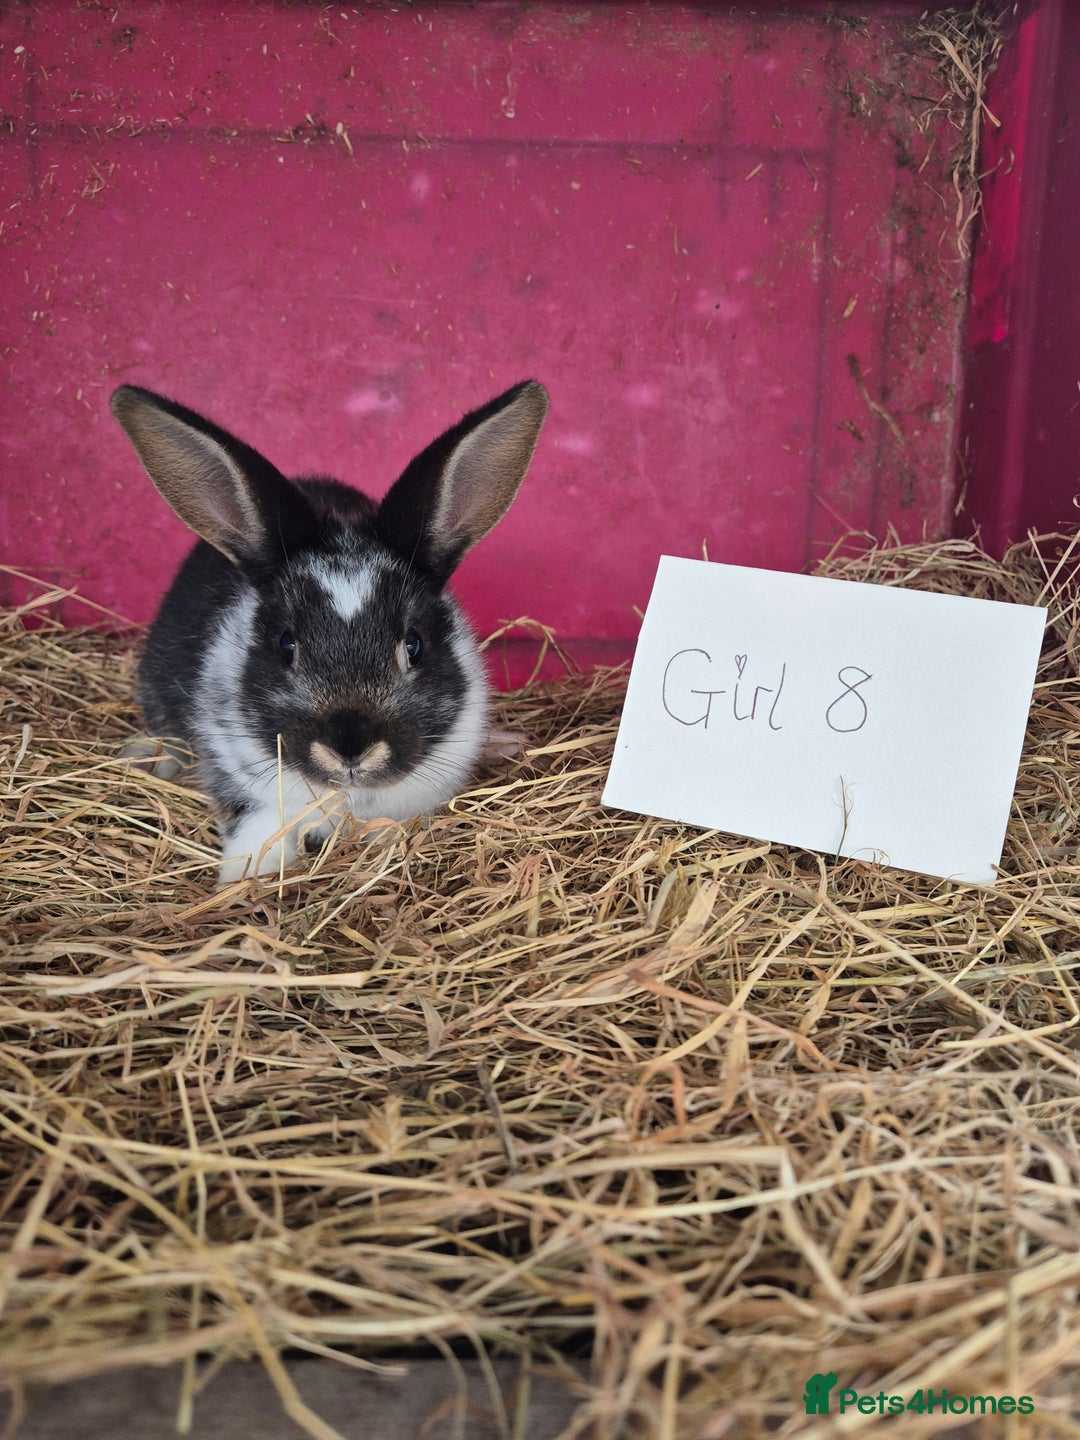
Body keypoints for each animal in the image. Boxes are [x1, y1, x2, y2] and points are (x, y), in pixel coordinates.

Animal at [111, 379, 548, 883]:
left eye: (414, 645)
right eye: (286, 645)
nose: (350, 750)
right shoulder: (248, 788)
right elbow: (258, 833)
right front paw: (246, 881)